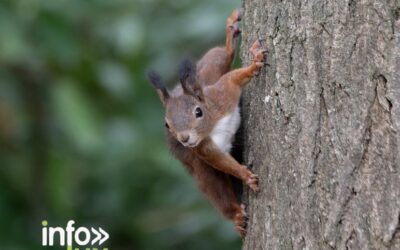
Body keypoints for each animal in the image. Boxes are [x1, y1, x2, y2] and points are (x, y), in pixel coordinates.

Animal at [147, 8, 266, 237]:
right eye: (167, 125)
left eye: (198, 111)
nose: (184, 139)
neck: (212, 126)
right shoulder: (203, 150)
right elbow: (222, 162)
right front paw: (245, 175)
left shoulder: (223, 94)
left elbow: (235, 77)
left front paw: (254, 64)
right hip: (201, 171)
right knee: (218, 193)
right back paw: (237, 217)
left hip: (212, 67)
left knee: (223, 55)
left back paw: (230, 32)